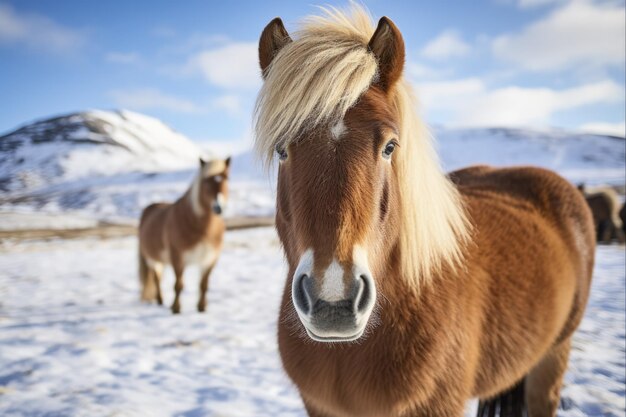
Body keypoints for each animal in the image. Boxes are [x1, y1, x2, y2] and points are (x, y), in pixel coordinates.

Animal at [138, 158, 230, 314]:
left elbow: (204, 285)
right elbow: (178, 285)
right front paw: (175, 308)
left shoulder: (209, 259)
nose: (218, 207)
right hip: (152, 260)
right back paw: (160, 301)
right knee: (156, 279)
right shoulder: (178, 258)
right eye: (206, 181)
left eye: (226, 178)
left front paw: (202, 307)